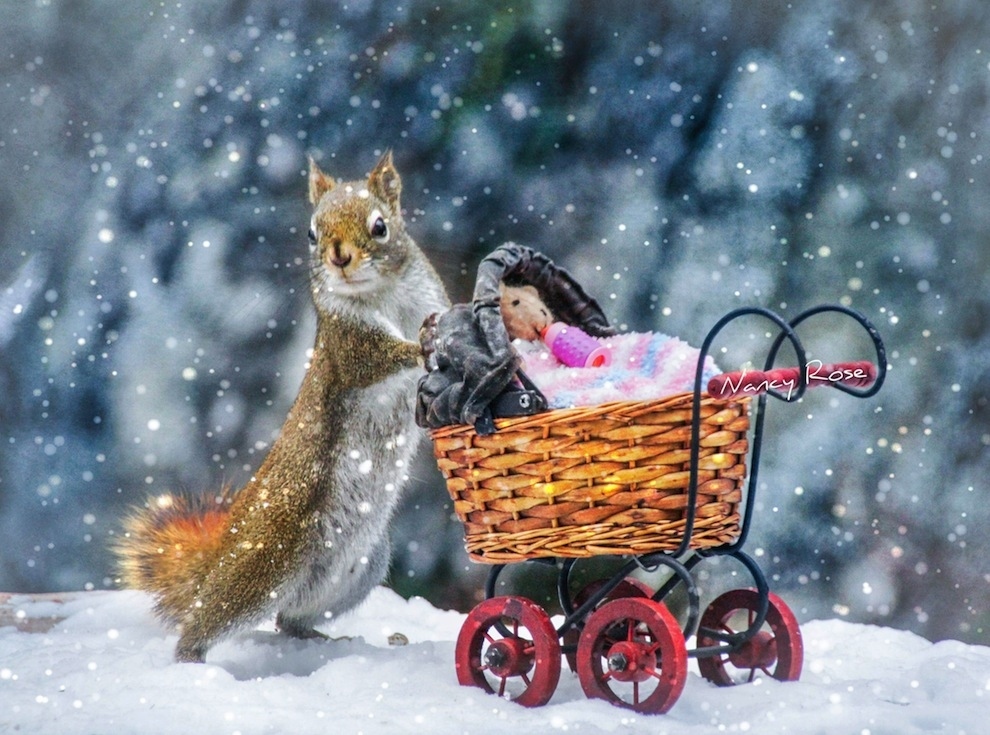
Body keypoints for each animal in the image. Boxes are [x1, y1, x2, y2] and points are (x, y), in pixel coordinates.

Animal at [116, 152, 454, 664]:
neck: (381, 294)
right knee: (208, 616)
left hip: (362, 567)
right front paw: (419, 347)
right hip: (265, 561)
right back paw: (191, 659)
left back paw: (323, 637)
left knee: (288, 619)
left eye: (380, 226)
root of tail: (223, 550)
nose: (339, 257)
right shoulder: (344, 340)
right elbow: (373, 359)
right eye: (312, 233)